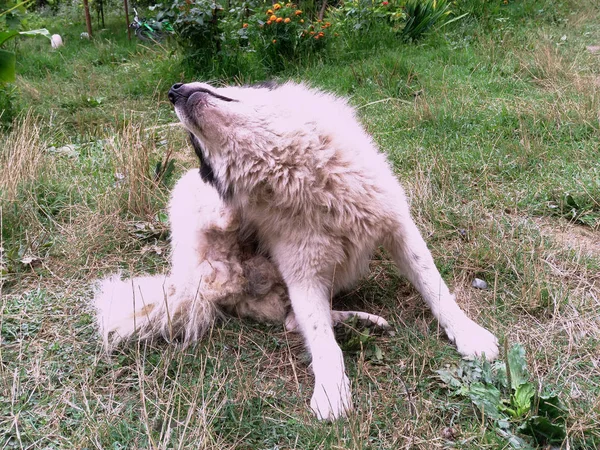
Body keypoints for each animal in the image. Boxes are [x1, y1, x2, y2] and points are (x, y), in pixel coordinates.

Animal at [166, 79, 500, 420]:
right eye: (197, 148)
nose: (173, 91)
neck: (298, 171)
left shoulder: (399, 227)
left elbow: (434, 286)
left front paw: (468, 333)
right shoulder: (303, 277)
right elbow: (321, 338)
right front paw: (330, 389)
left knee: (294, 319)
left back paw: (364, 321)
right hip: (194, 209)